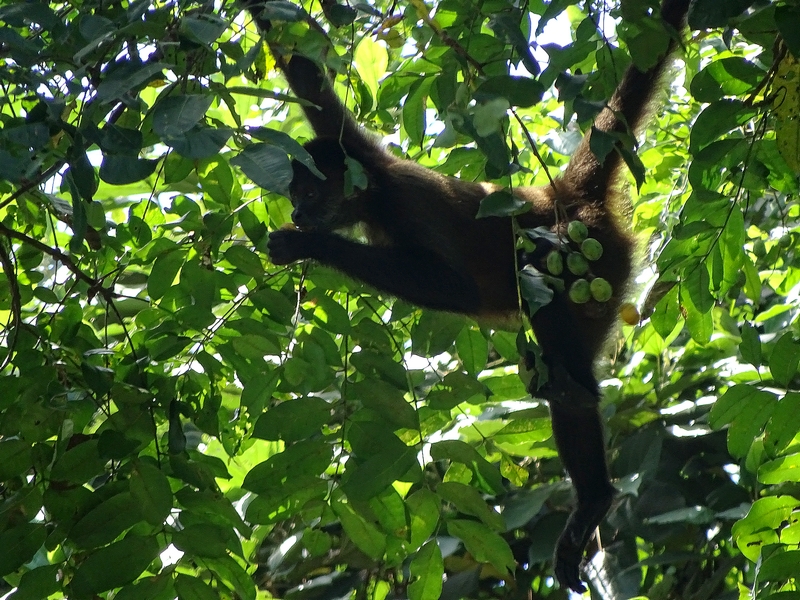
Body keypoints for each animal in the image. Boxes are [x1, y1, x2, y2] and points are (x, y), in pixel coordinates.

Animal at [244, 0, 691, 592]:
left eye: (309, 194)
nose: (296, 211)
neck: (375, 192)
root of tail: (562, 195)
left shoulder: (404, 201)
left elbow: (456, 286)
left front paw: (307, 245)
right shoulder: (358, 149)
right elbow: (306, 76)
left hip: (592, 261)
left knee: (546, 317)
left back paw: (588, 468)